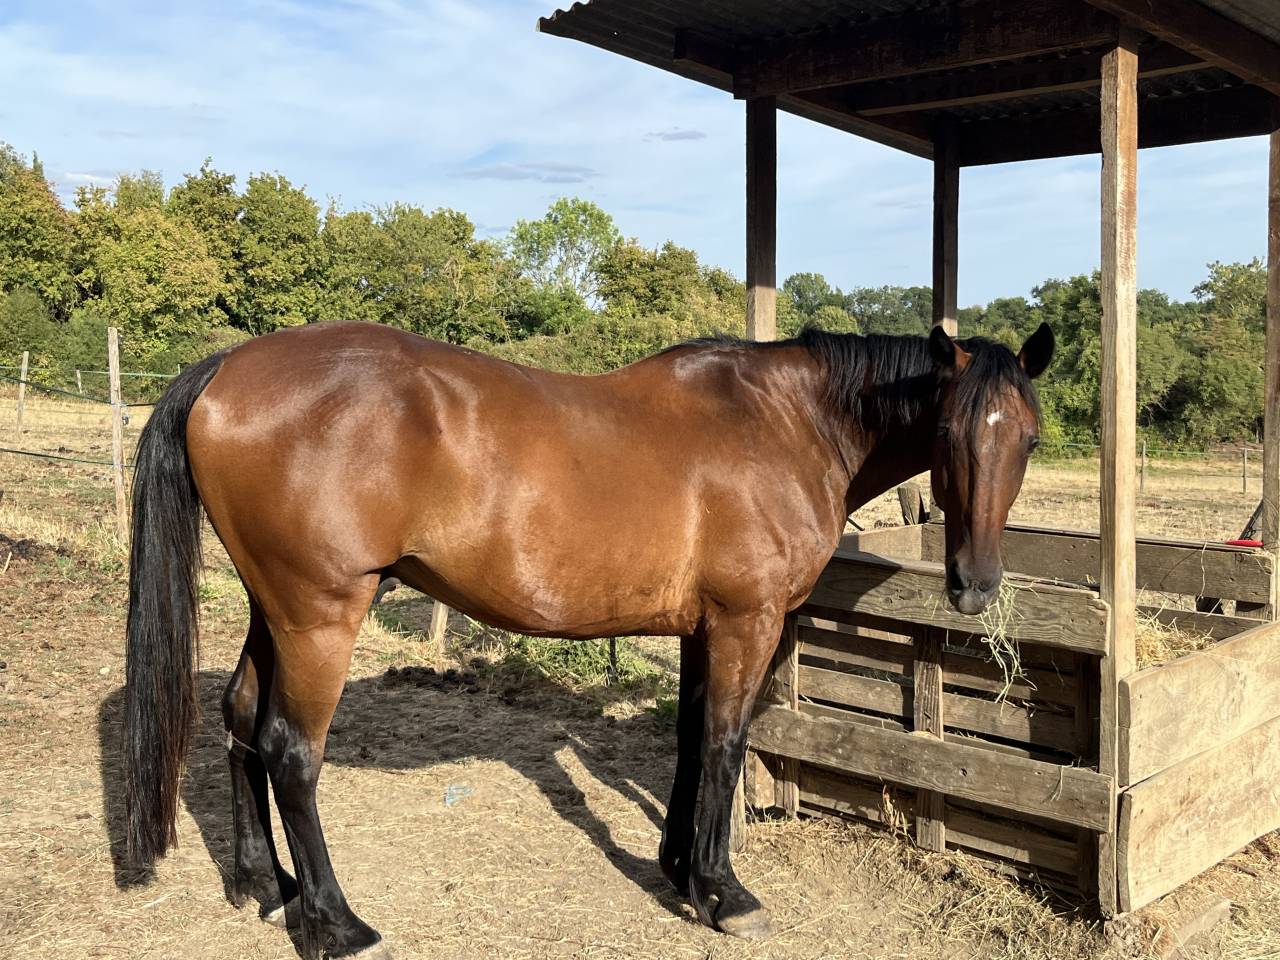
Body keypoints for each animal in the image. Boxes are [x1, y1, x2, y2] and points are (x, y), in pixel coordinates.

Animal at [122, 319, 1054, 958]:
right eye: (949, 432)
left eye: (1030, 435)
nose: (975, 586)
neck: (786, 423)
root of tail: (227, 369)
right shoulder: (746, 622)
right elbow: (725, 742)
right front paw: (722, 892)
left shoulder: (698, 628)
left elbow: (690, 739)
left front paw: (678, 869)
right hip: (320, 615)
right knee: (290, 749)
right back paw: (334, 922)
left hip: (273, 609)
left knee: (240, 719)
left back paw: (262, 884)